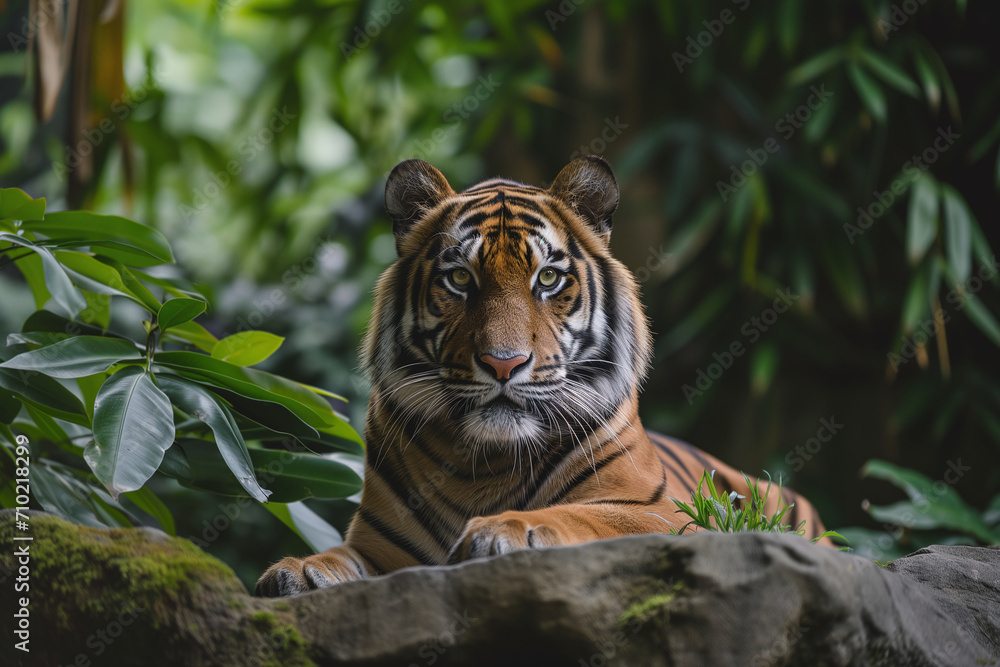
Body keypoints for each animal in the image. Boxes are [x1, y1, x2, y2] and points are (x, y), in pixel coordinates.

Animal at [256, 156, 829, 597]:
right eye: (459, 278)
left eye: (548, 277)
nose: (503, 363)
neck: (481, 464)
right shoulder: (379, 544)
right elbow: (341, 555)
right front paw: (298, 570)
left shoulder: (663, 514)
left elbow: (583, 515)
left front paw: (508, 527)